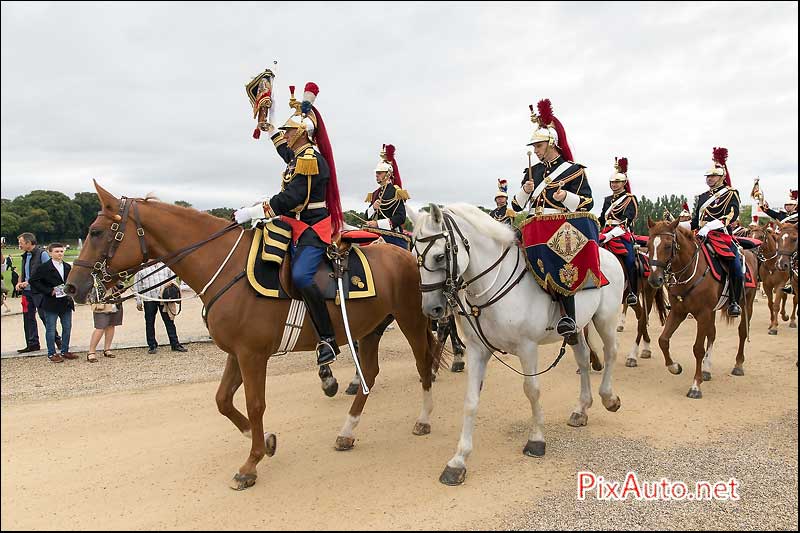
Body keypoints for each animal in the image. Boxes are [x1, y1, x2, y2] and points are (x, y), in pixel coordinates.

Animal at [67, 183, 444, 490]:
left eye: (96, 231)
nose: (72, 287)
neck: (226, 268)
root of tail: (406, 253)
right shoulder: (236, 352)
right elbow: (222, 400)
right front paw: (262, 438)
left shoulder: (252, 354)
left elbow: (255, 403)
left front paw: (251, 462)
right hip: (368, 329)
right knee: (370, 373)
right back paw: (347, 431)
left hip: (411, 321)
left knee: (424, 363)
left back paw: (424, 420)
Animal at [412, 205, 624, 486]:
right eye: (415, 257)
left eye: (438, 257)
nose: (431, 309)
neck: (491, 286)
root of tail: (608, 254)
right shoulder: (478, 351)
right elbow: (470, 401)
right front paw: (458, 461)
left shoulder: (527, 348)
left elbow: (532, 391)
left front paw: (536, 440)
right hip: (577, 328)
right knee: (583, 359)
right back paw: (581, 409)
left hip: (605, 318)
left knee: (610, 353)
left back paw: (609, 398)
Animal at [644, 217, 756, 400]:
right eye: (647, 245)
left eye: (667, 246)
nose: (655, 280)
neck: (689, 271)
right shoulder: (679, 312)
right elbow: (663, 340)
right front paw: (674, 367)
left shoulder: (703, 313)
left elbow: (697, 349)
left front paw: (695, 386)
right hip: (712, 312)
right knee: (712, 334)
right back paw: (706, 370)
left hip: (747, 304)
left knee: (742, 332)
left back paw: (738, 365)